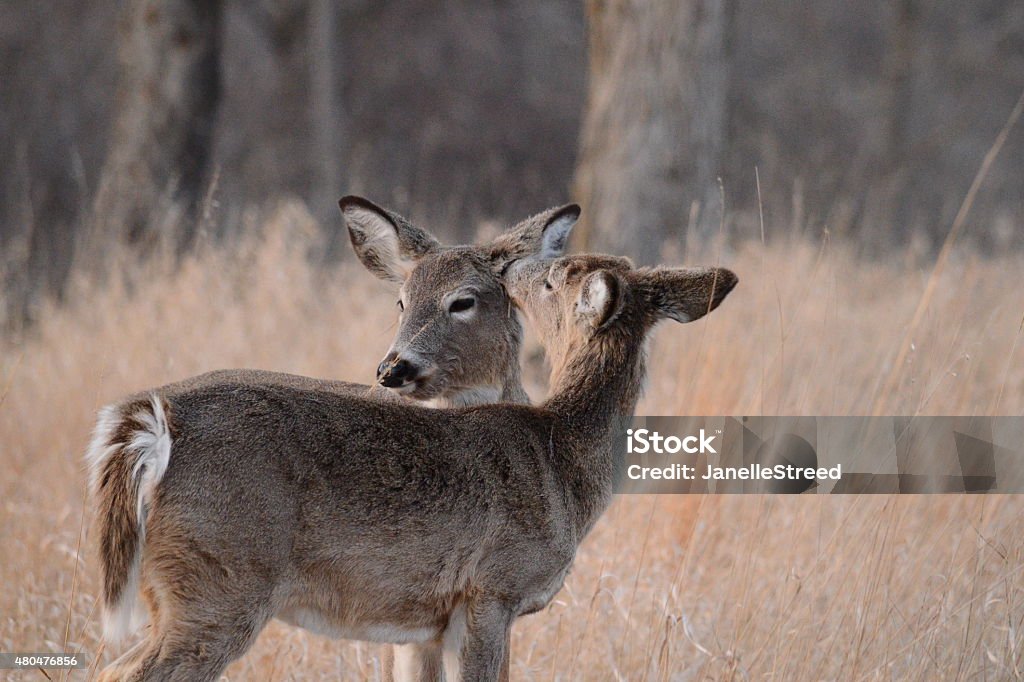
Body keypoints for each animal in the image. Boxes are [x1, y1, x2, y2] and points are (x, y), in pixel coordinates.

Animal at [83, 245, 733, 679]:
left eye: (551, 280)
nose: (514, 264)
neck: (562, 461)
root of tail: (150, 422)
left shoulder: (431, 619)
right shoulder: (492, 589)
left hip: (185, 587)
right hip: (220, 579)